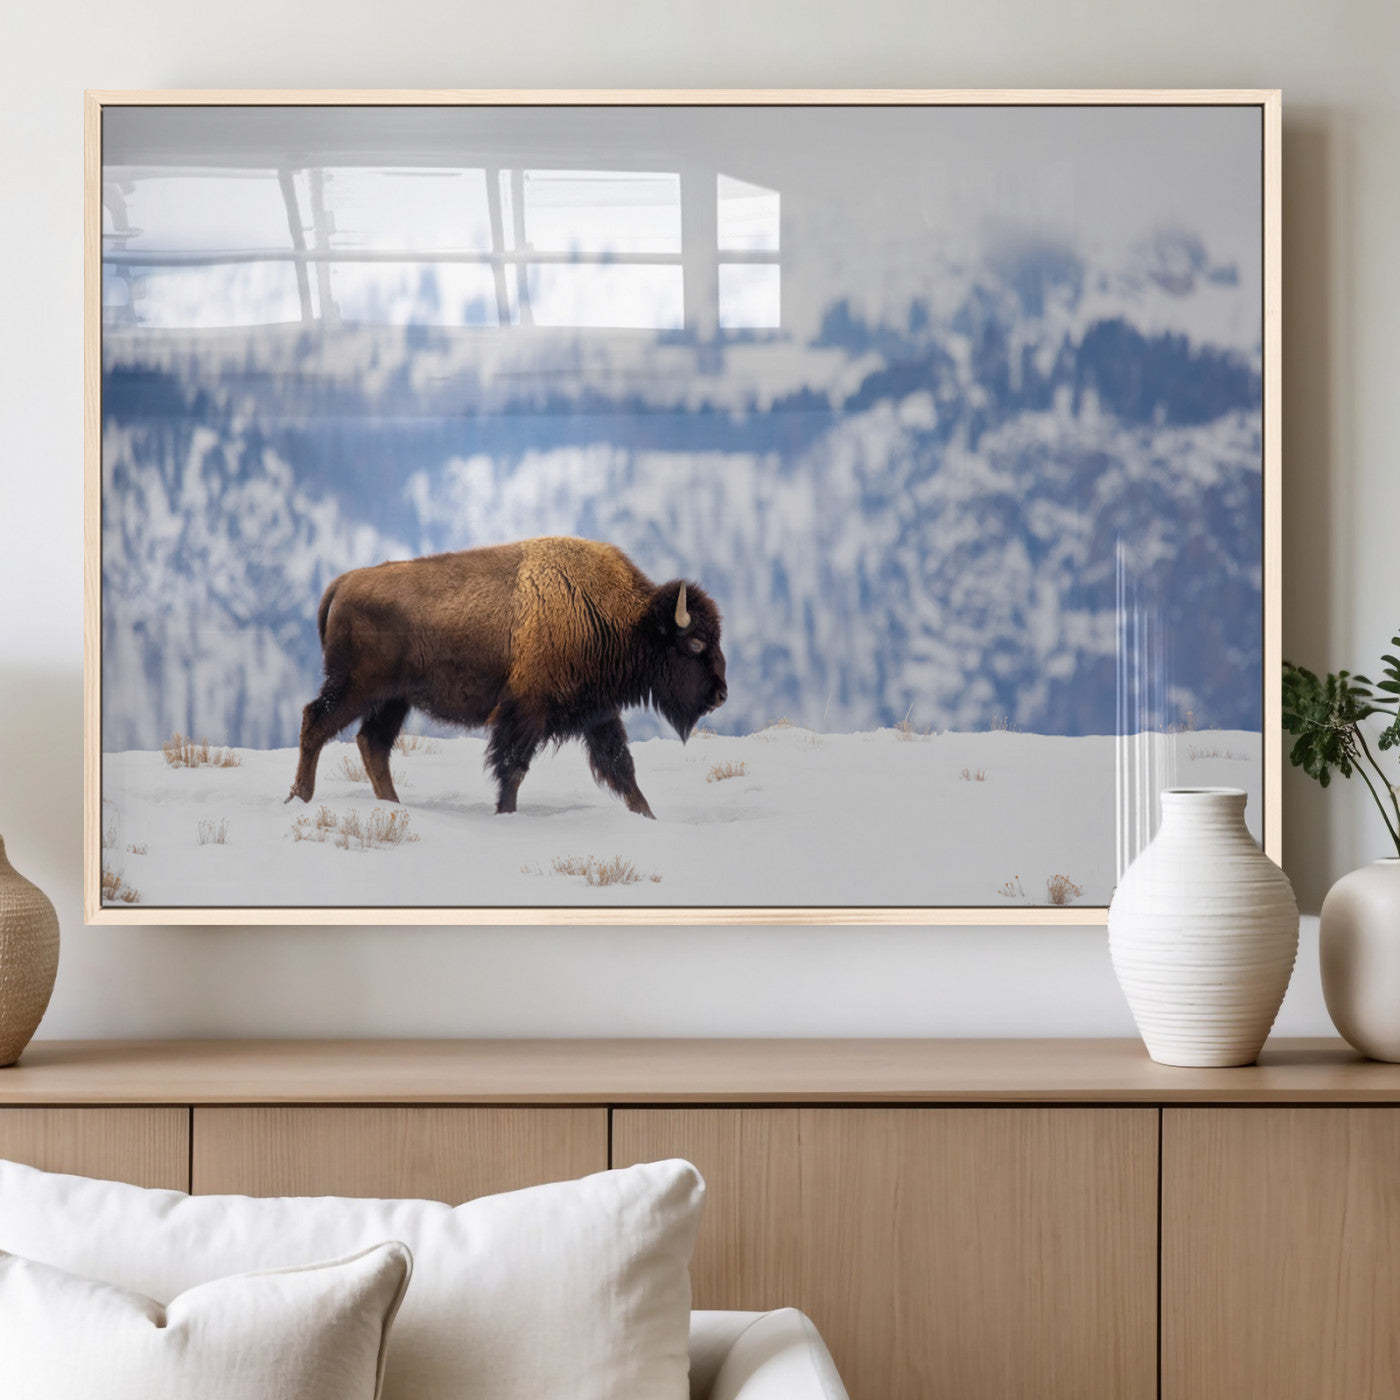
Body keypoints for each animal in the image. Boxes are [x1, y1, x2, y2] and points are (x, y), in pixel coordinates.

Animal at [287, 536, 727, 818]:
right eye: (695, 643)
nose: (721, 695)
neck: (620, 617)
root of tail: (343, 583)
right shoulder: (525, 713)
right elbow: (513, 768)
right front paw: (505, 815)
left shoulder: (598, 714)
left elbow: (622, 769)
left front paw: (649, 817)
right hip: (356, 688)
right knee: (317, 722)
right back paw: (300, 799)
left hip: (393, 699)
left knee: (372, 743)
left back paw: (391, 805)